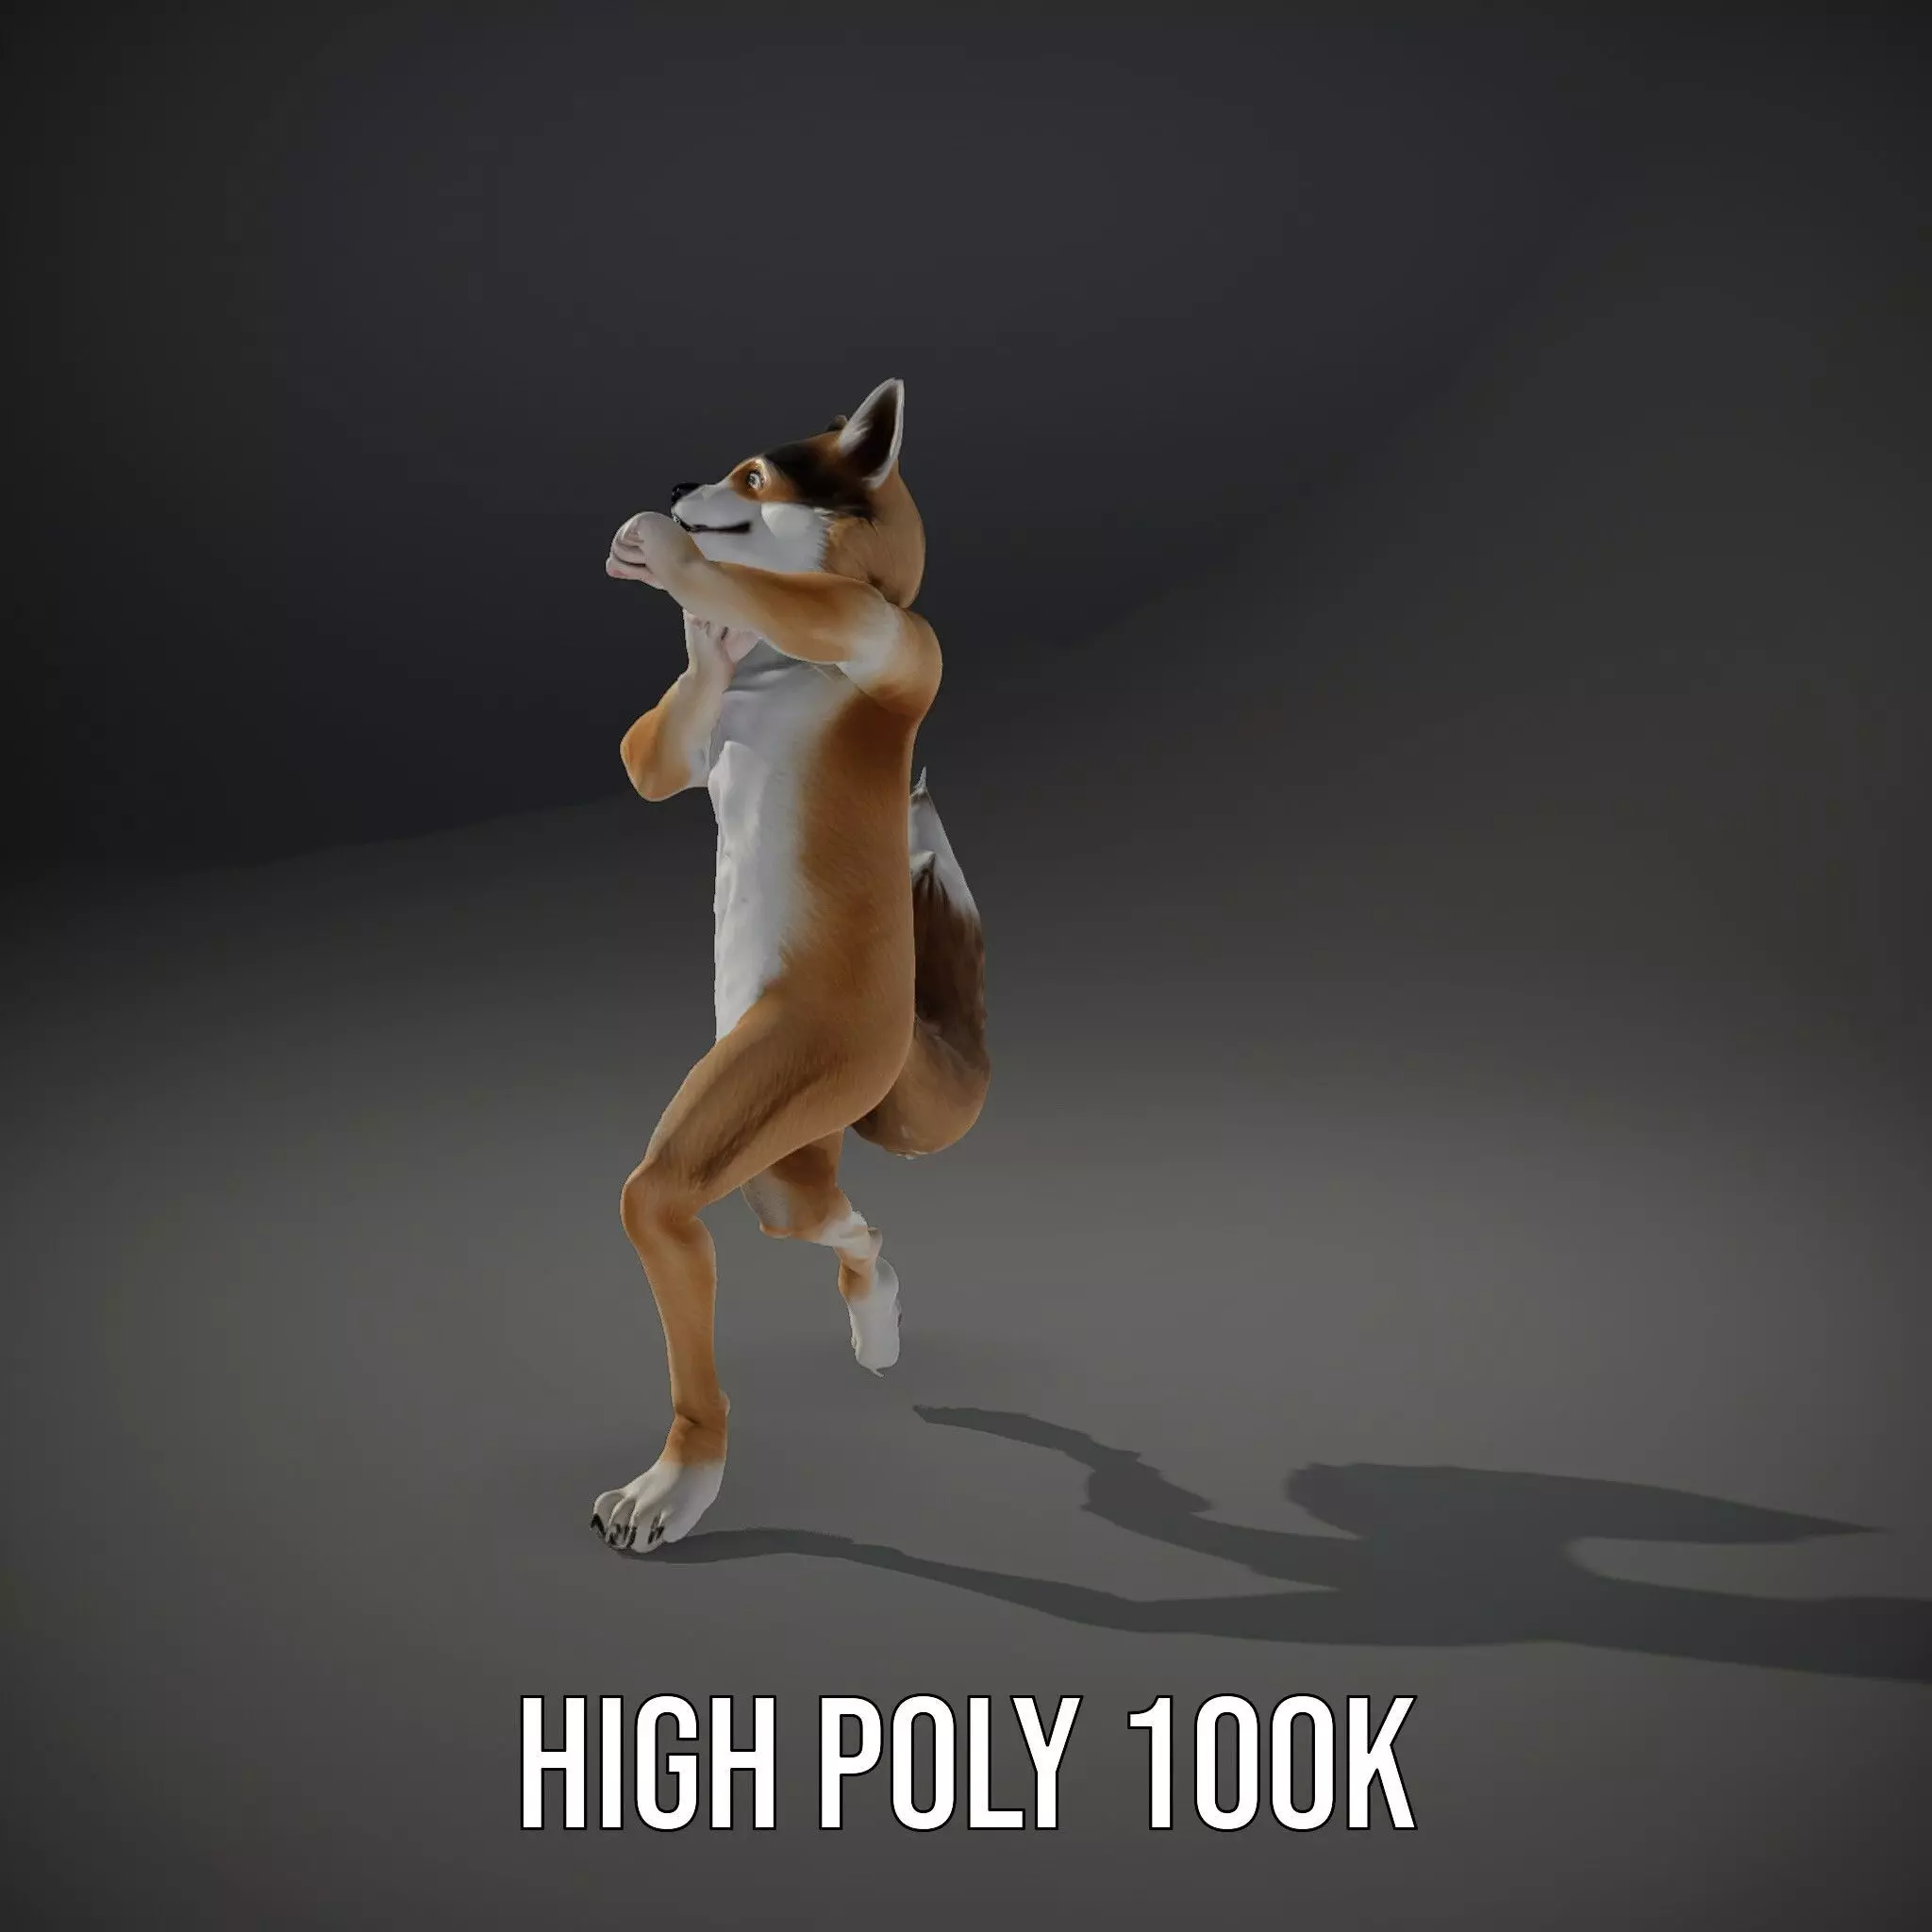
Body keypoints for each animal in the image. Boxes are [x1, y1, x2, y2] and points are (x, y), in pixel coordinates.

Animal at [593, 378, 989, 1553]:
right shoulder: (683, 741)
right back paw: (876, 1314)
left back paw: (686, 1474)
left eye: (754, 476)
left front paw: (667, 552)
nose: (681, 480)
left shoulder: (882, 632)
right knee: (840, 1224)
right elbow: (651, 760)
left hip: (796, 1068)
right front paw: (703, 623)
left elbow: (798, 597)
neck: (780, 662)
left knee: (679, 1198)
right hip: (783, 1159)